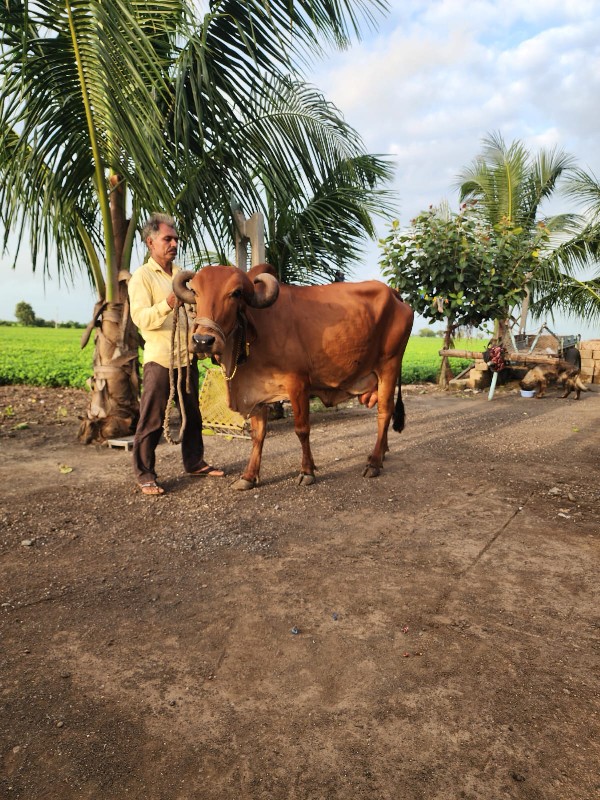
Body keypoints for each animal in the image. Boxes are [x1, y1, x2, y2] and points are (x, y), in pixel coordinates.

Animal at [175, 266, 412, 488]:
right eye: (195, 291)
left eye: (236, 293)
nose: (203, 341)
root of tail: (394, 293)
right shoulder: (257, 392)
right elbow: (258, 435)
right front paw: (248, 476)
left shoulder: (298, 383)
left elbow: (302, 429)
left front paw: (307, 471)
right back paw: (381, 454)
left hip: (389, 365)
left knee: (384, 412)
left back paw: (374, 463)